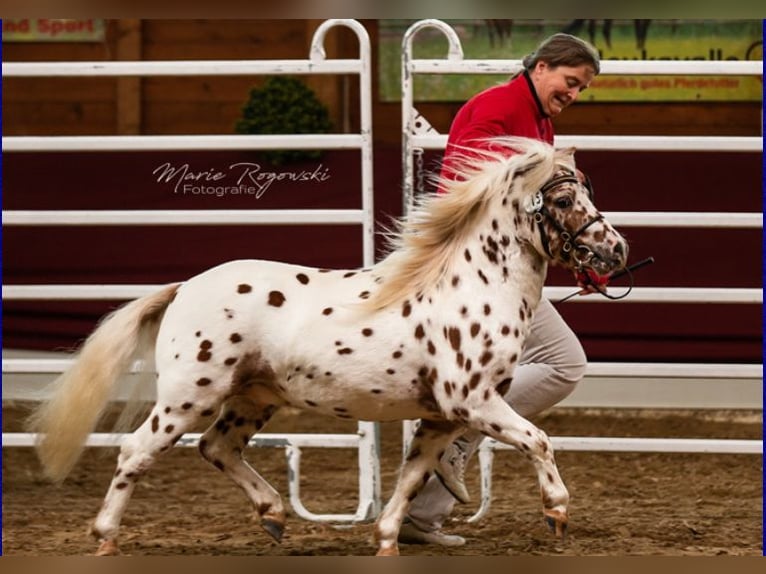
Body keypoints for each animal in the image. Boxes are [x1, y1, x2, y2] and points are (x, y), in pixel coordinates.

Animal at [30, 136, 632, 560]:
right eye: (563, 198)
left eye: (589, 192)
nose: (616, 251)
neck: (469, 288)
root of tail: (183, 288)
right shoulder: (473, 402)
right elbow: (538, 441)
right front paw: (557, 514)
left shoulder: (442, 417)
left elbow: (412, 477)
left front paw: (387, 540)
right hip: (189, 395)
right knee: (136, 450)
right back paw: (106, 535)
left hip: (252, 398)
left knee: (217, 448)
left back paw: (274, 516)